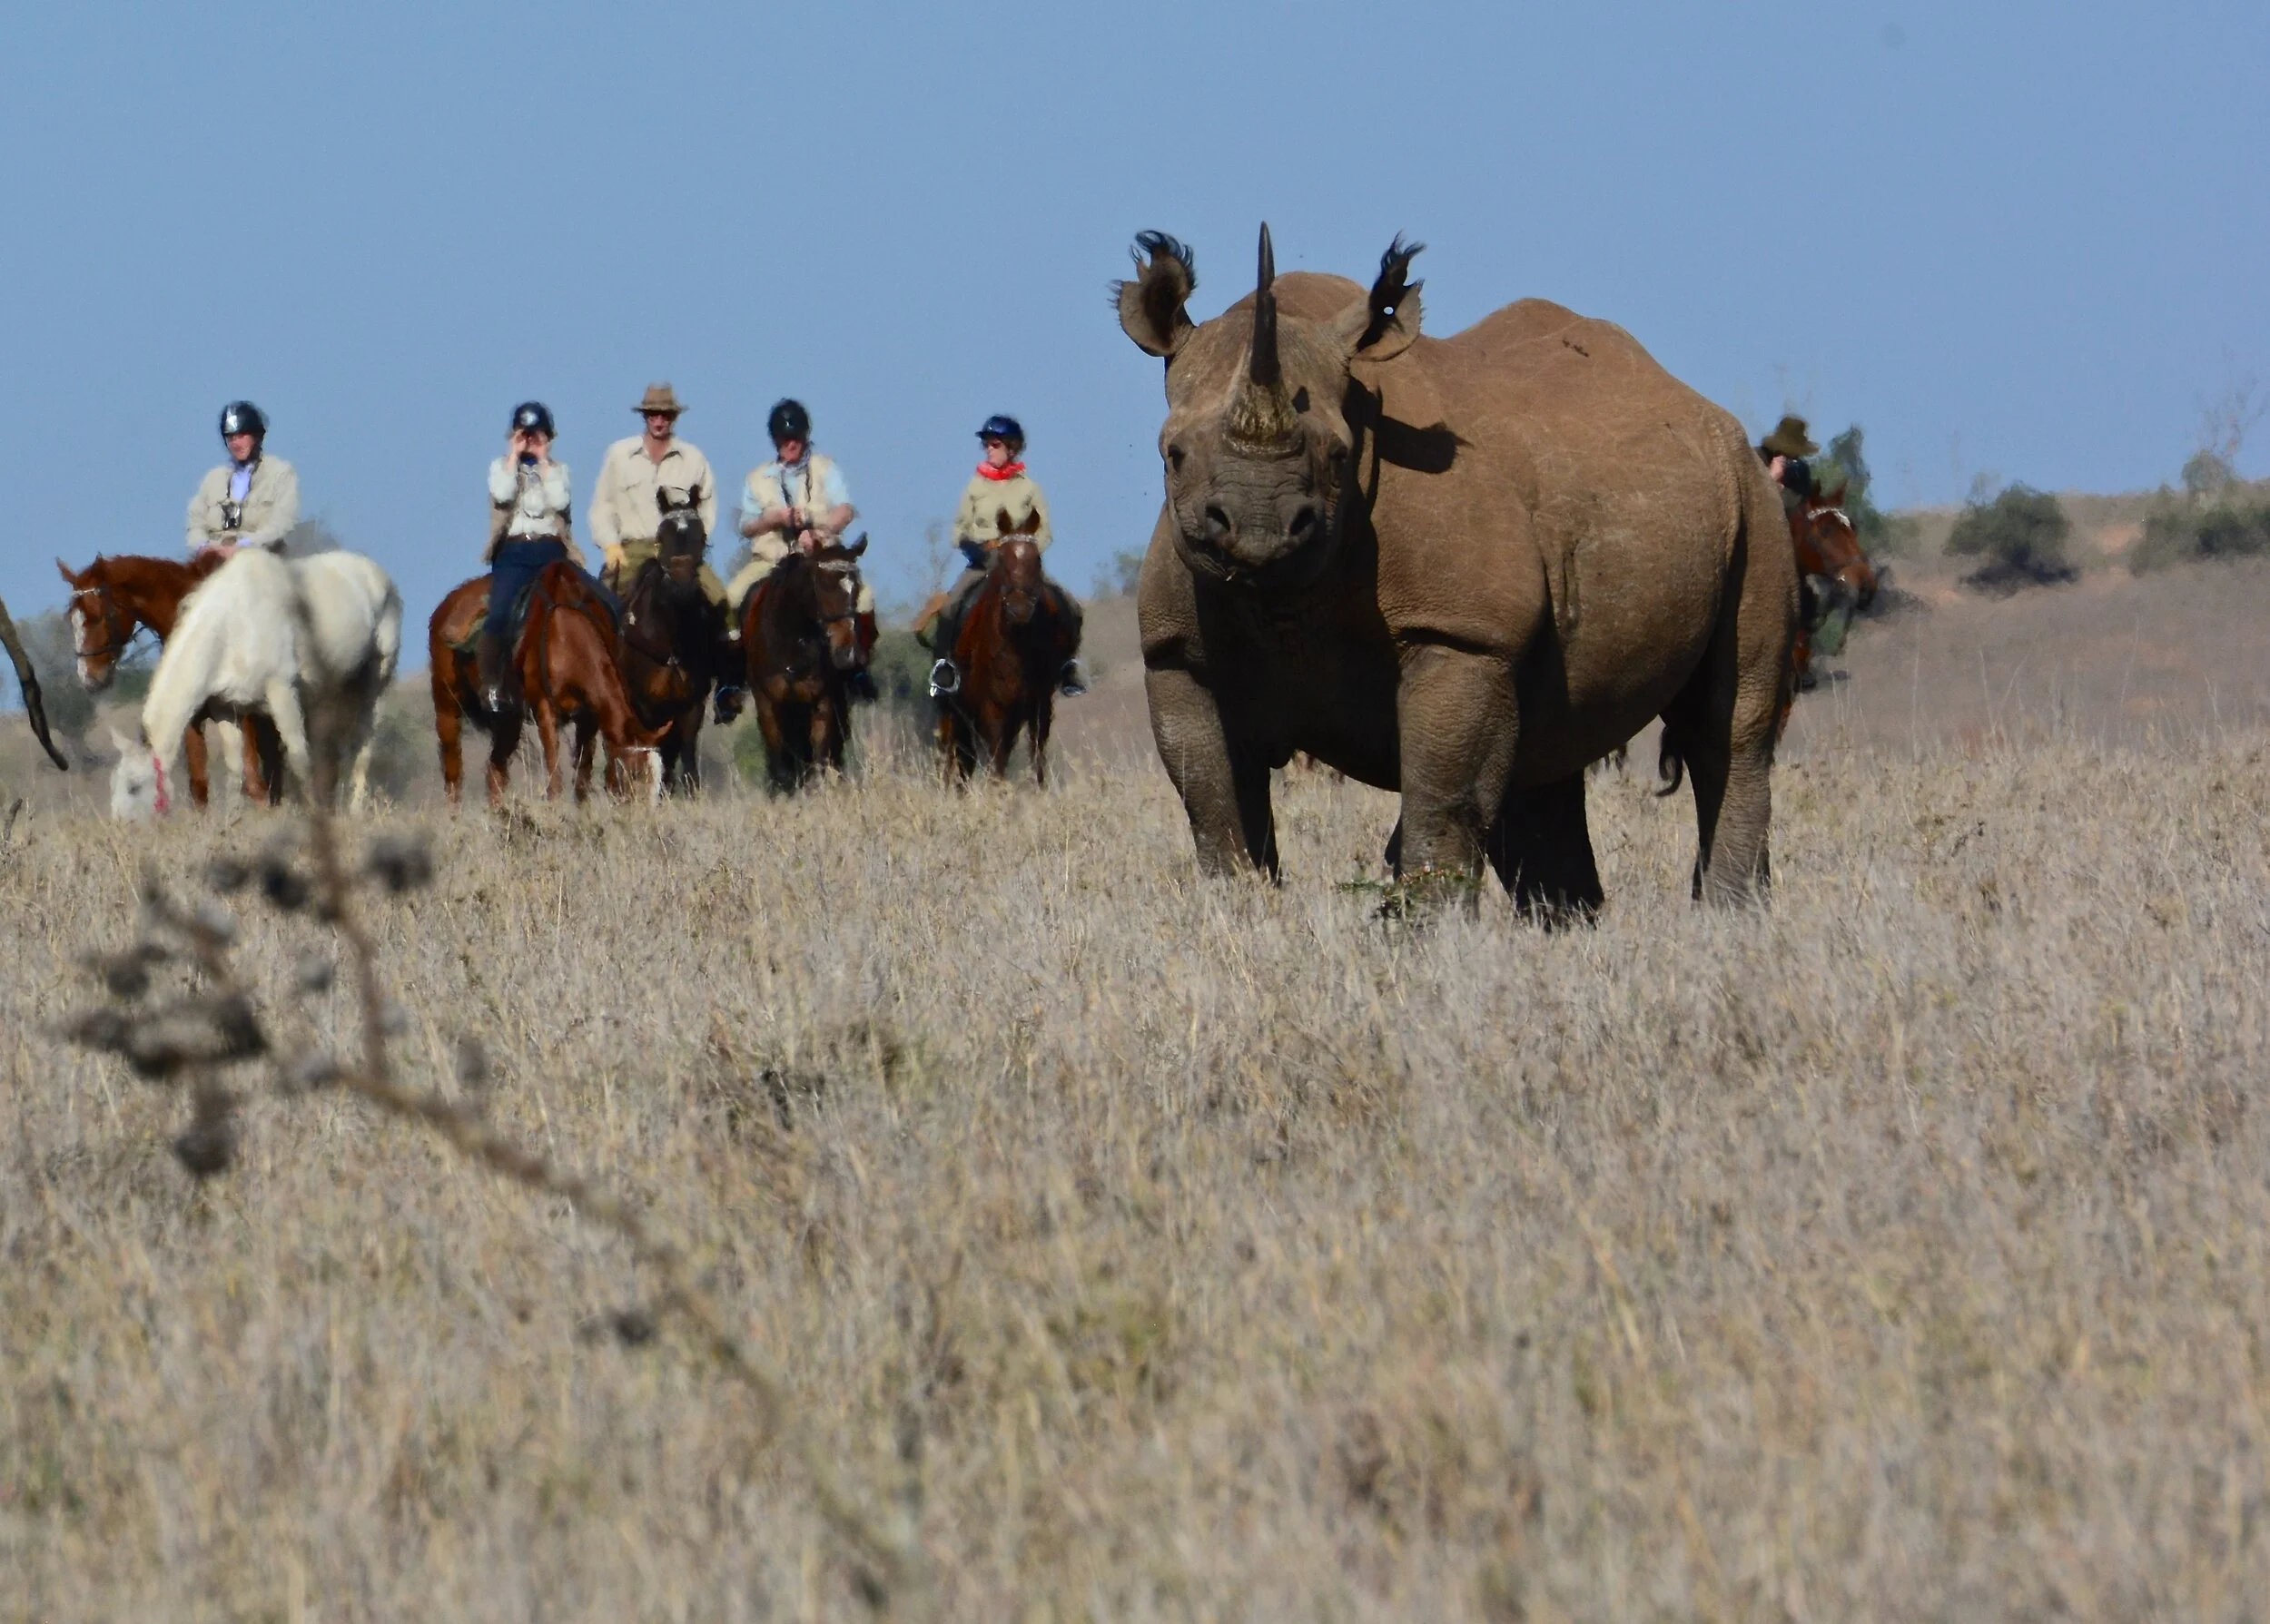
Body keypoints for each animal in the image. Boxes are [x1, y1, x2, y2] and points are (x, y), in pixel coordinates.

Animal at [1116, 226, 1796, 915]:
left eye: (1338, 456)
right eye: (1173, 454)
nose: (1261, 529)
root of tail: (1702, 408)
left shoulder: (1465, 633)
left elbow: (1444, 797)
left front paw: (1428, 927)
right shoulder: (1177, 650)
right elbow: (1213, 801)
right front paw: (1237, 912)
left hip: (1753, 498)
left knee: (1729, 727)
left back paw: (1729, 915)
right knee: (1548, 754)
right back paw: (1568, 922)